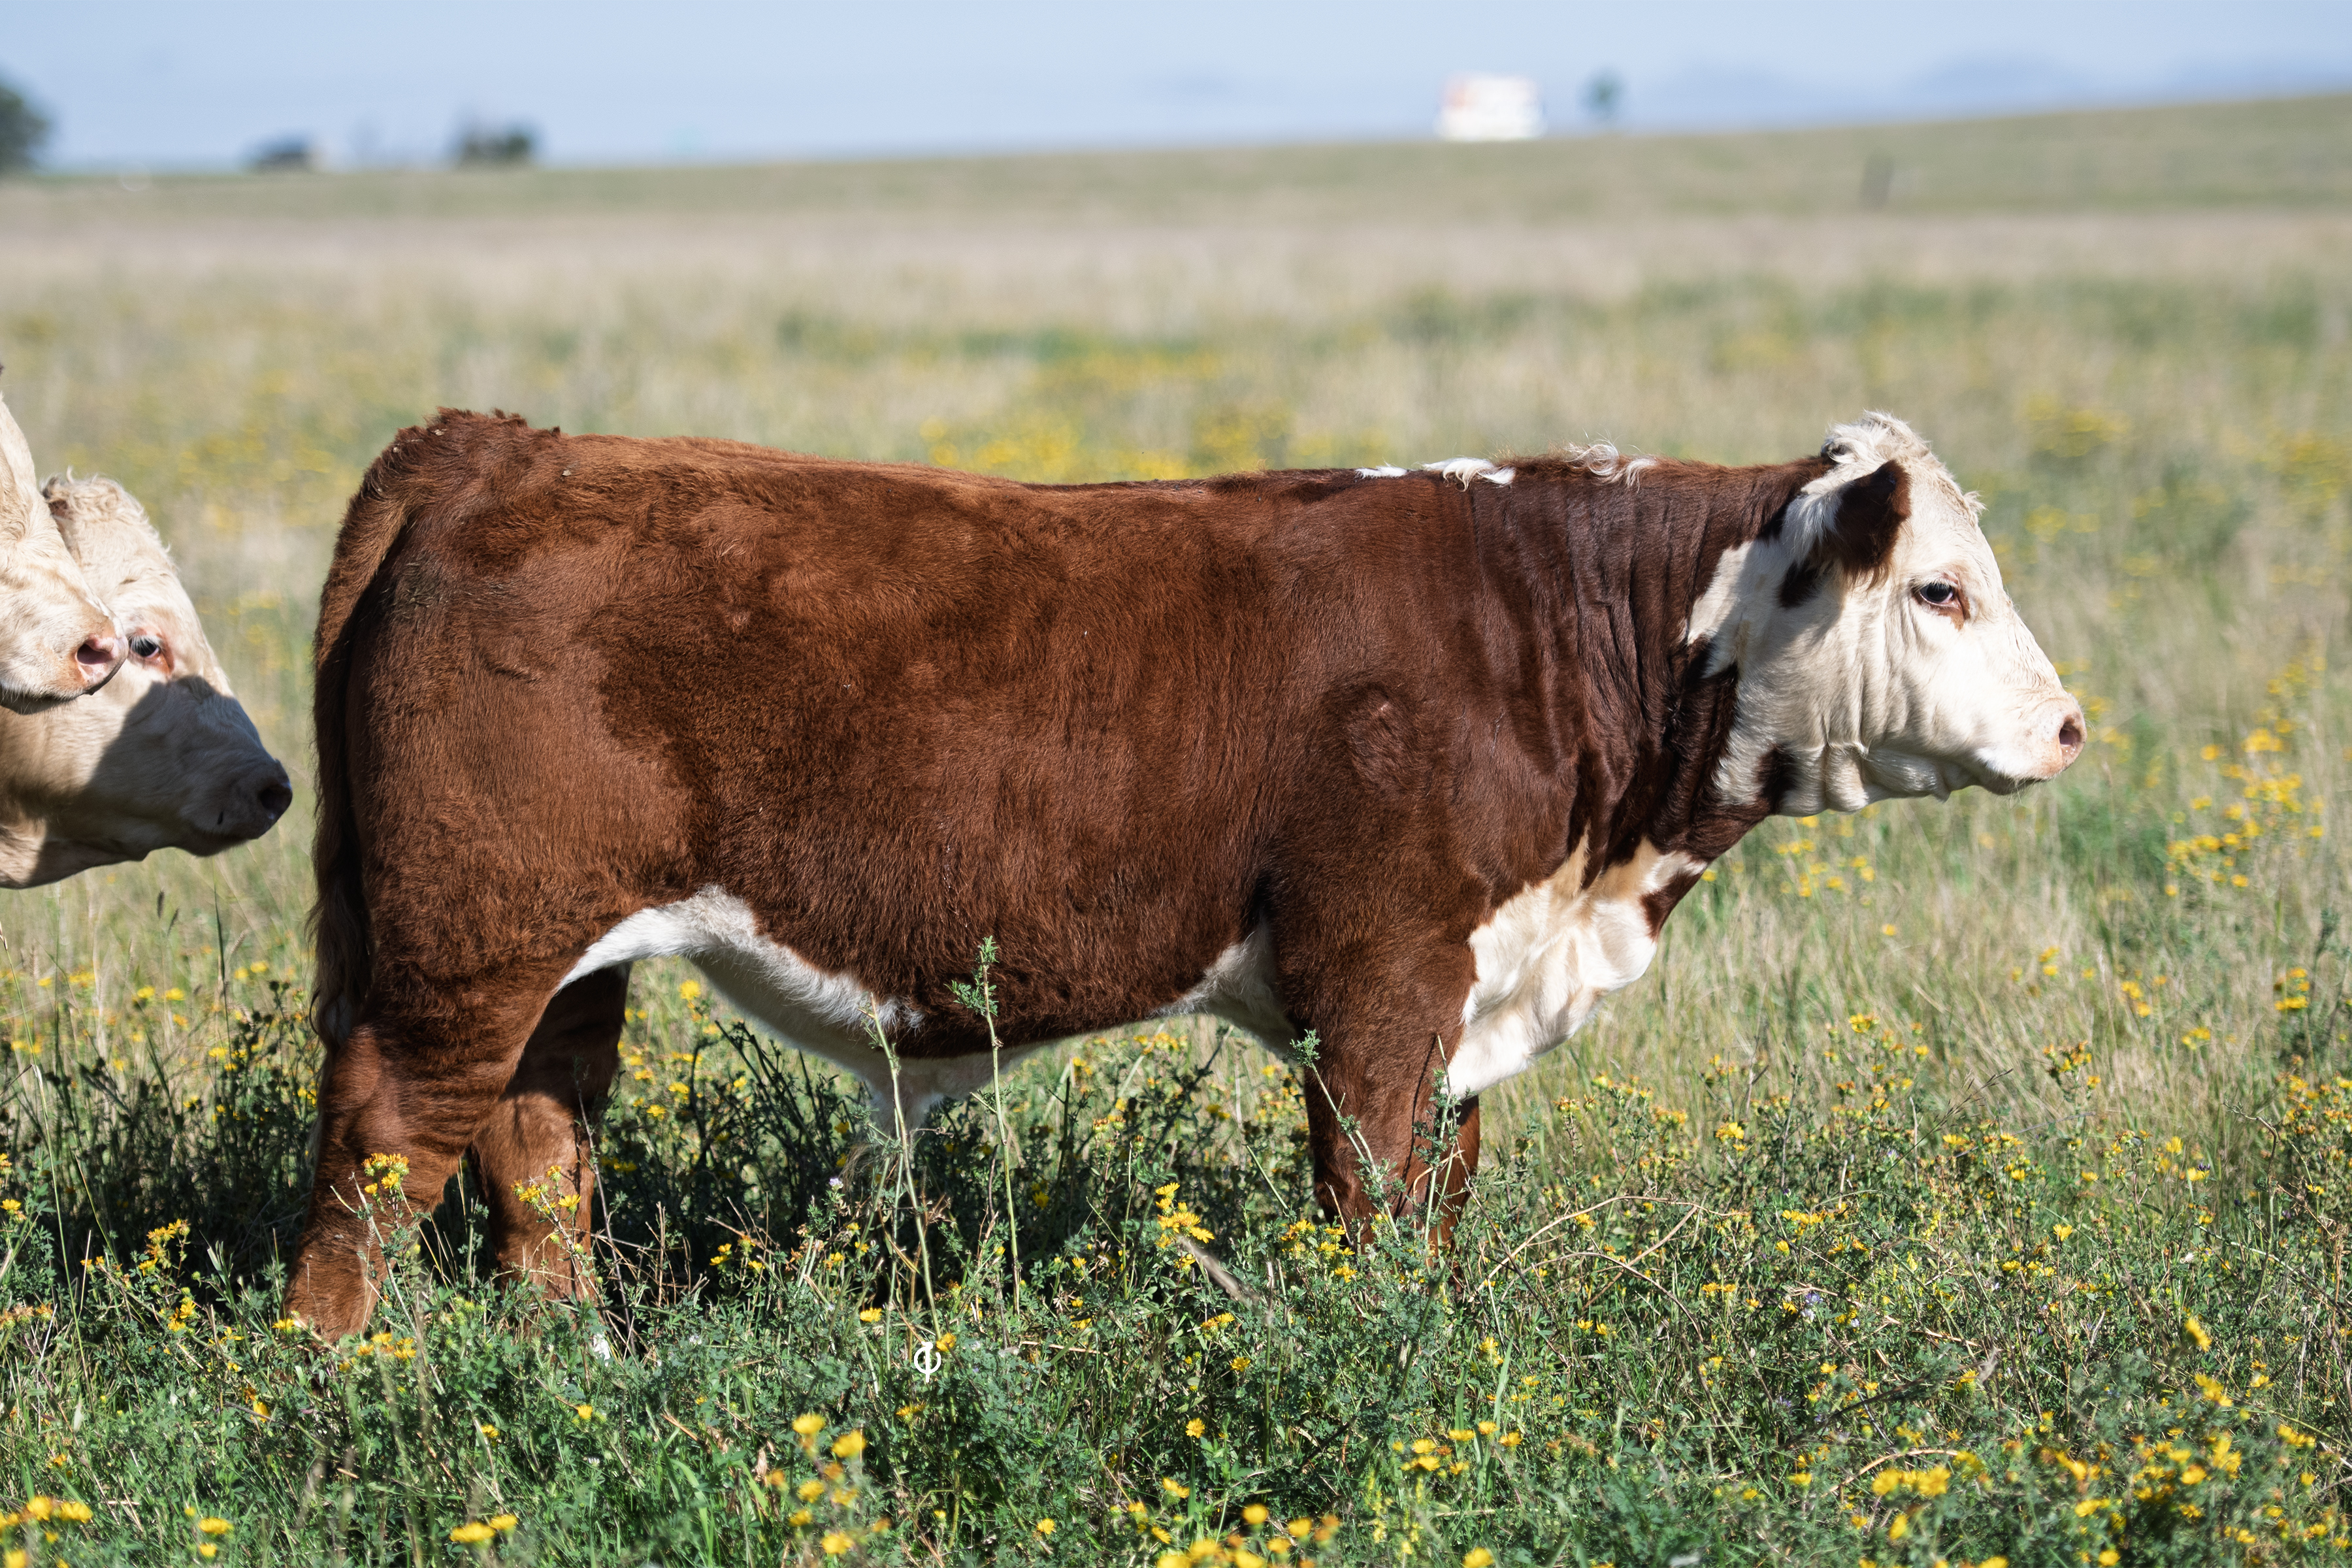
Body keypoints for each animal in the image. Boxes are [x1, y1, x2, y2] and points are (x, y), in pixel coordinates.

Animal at [285, 408, 2082, 1339]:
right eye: (1938, 590)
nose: (2071, 725)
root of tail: (505, 447)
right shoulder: (1383, 973)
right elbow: (1371, 1188)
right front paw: (1375, 1360)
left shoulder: (1470, 984)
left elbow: (1442, 1185)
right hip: (470, 939)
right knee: (385, 1138)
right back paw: (333, 1375)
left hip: (556, 953)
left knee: (535, 1138)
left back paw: (566, 1355)